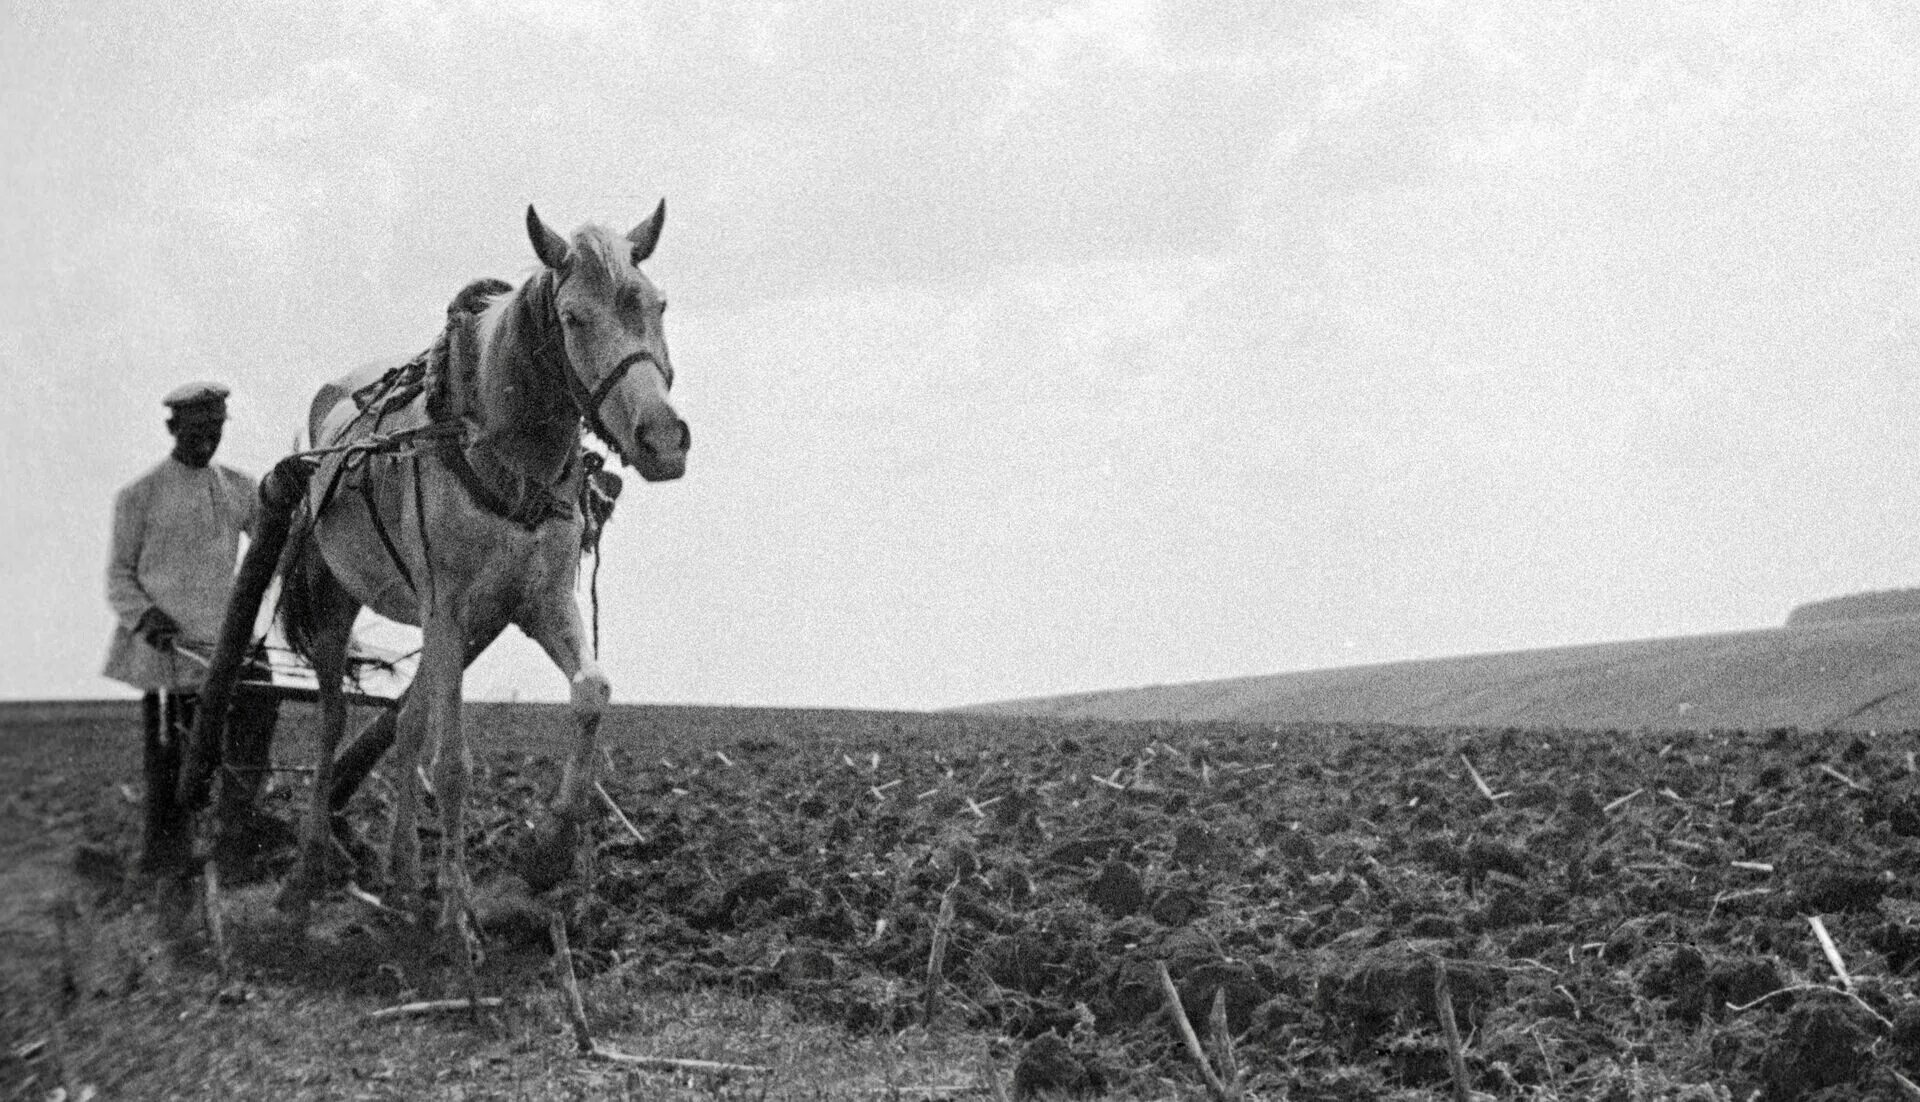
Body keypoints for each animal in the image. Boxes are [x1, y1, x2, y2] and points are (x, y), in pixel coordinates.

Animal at [192, 203, 683, 971]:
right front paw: (457, 919)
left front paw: (547, 853)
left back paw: (401, 877)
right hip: (340, 603)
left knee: (408, 723)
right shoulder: (449, 609)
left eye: (658, 305)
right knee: (335, 721)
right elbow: (452, 764)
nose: (663, 439)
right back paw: (307, 874)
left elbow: (591, 691)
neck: (497, 447)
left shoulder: (539, 603)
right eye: (573, 317)